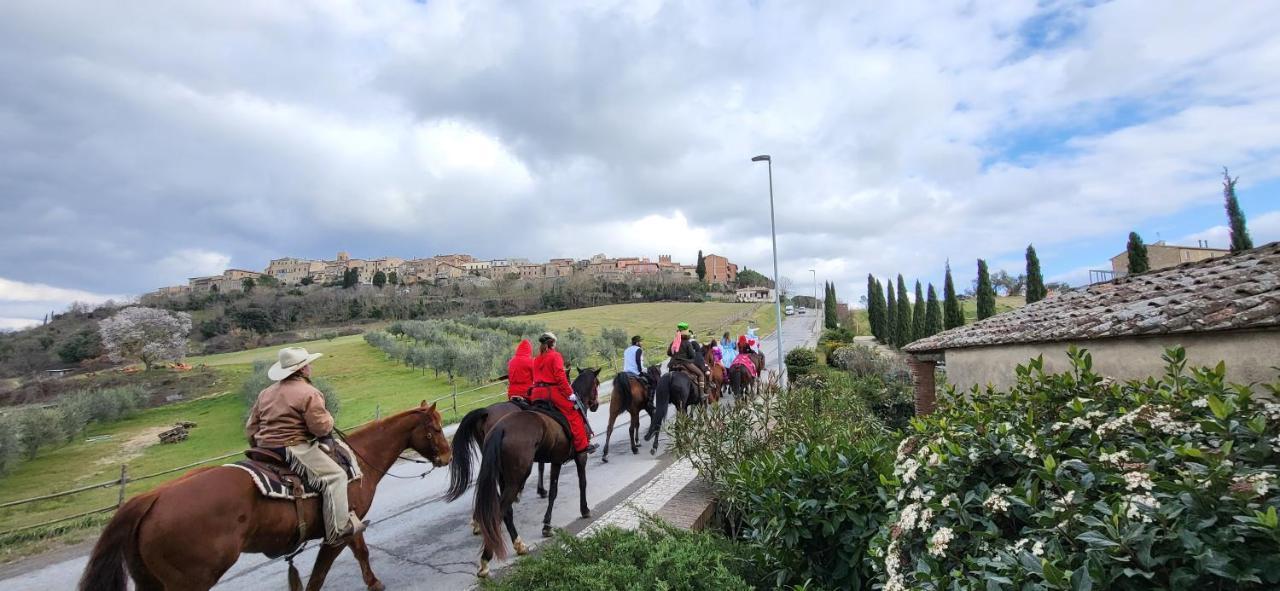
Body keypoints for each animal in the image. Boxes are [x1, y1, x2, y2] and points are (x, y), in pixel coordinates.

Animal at [77, 401, 453, 591]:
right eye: (435, 427)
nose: (447, 456)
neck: (359, 459)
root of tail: (151, 499)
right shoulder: (340, 529)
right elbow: (328, 568)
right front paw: (374, 584)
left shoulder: (348, 525)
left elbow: (351, 556)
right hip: (190, 582)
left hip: (150, 581)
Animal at [448, 365, 601, 575]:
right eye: (597, 384)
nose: (595, 405)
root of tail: (500, 427)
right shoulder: (579, 456)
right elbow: (579, 483)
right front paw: (582, 510)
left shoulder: (554, 460)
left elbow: (551, 486)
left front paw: (546, 519)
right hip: (516, 475)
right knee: (500, 509)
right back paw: (487, 558)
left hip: (500, 472)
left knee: (500, 505)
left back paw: (509, 540)